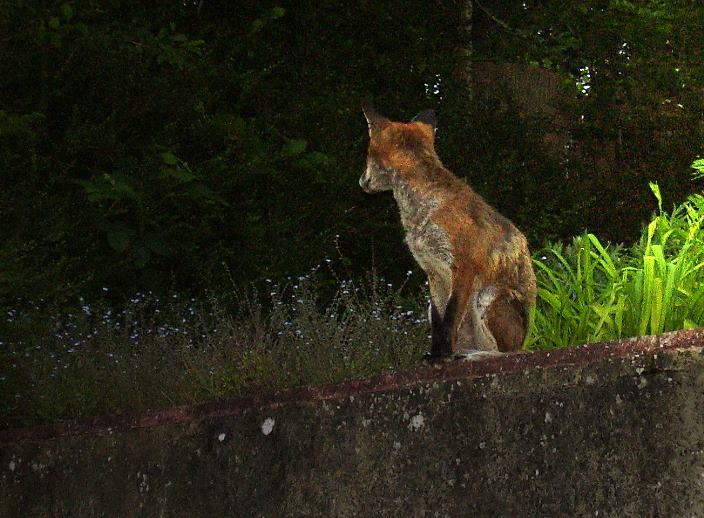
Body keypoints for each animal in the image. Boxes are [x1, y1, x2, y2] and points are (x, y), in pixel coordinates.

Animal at [360, 101, 537, 358]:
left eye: (366, 155)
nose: (361, 182)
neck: (422, 212)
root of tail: (525, 339)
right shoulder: (433, 272)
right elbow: (439, 321)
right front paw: (437, 354)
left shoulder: (463, 267)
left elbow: (450, 317)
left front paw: (442, 358)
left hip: (488, 296)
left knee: (508, 353)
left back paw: (476, 356)